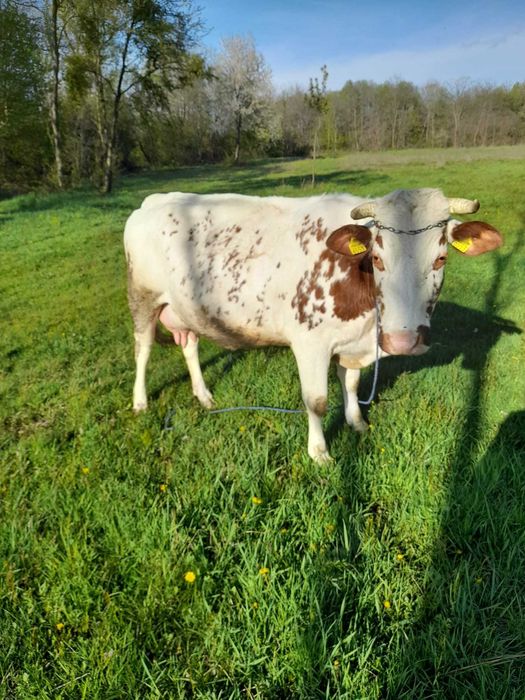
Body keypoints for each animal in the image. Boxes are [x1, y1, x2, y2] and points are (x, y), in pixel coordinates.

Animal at [124, 188, 503, 462]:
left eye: (441, 258)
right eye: (378, 258)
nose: (403, 340)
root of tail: (154, 200)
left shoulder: (353, 341)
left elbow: (351, 384)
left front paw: (357, 422)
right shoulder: (310, 343)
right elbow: (317, 401)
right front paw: (319, 452)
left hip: (185, 309)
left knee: (189, 346)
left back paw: (203, 395)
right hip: (143, 298)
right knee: (143, 350)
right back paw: (140, 401)